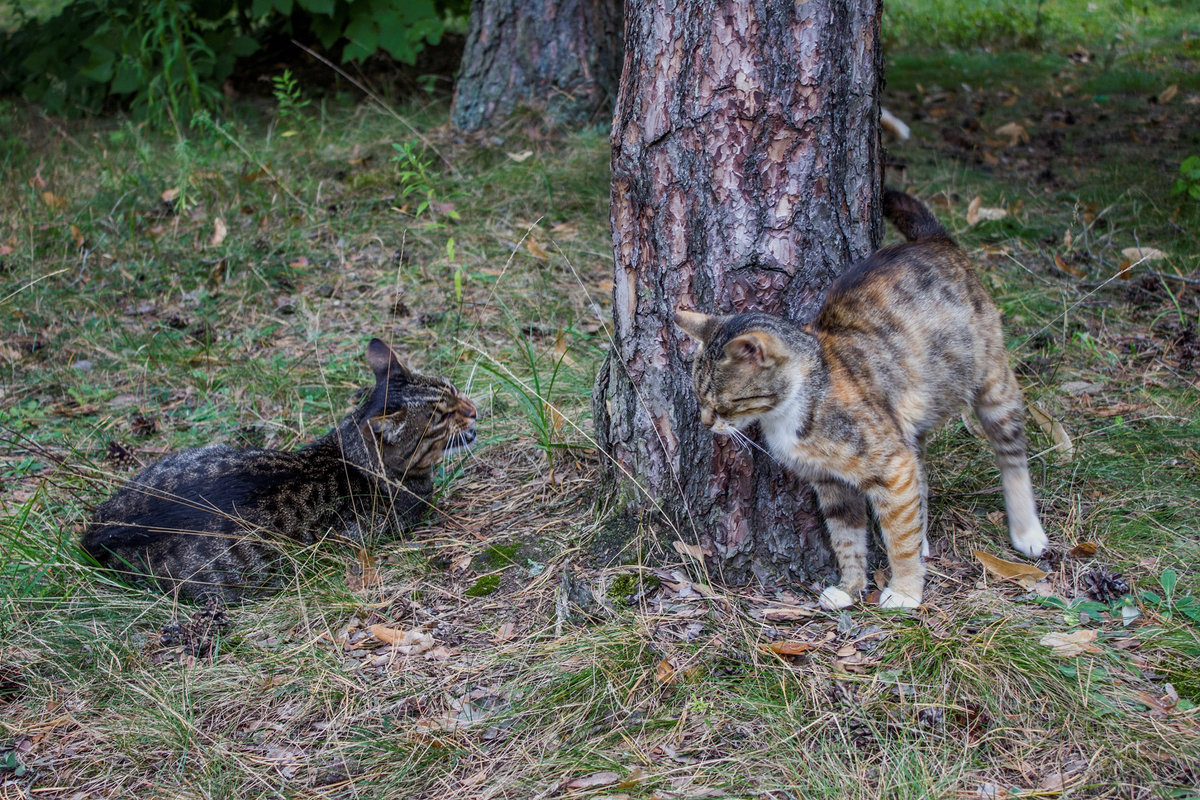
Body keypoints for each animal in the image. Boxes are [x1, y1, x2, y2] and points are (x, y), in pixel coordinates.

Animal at [681, 189, 1046, 614]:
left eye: (723, 403)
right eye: (698, 397)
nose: (706, 422)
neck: (803, 397)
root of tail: (935, 241)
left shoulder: (890, 463)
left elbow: (897, 536)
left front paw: (905, 590)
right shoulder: (830, 481)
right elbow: (846, 536)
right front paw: (851, 586)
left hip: (991, 379)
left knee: (1011, 455)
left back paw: (1026, 530)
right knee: (919, 475)